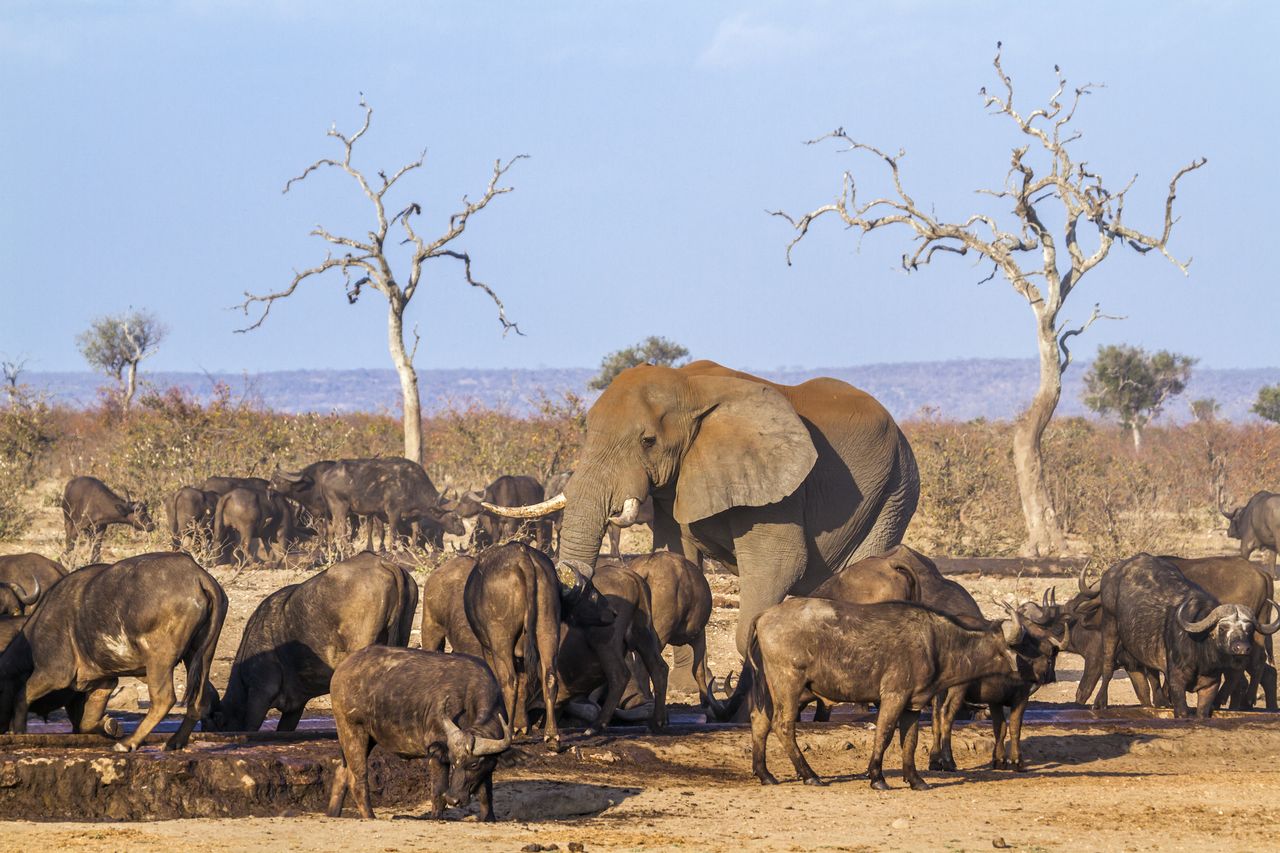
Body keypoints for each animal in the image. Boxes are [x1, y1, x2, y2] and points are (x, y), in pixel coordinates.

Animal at [0, 550, 226, 742]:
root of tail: (198, 576)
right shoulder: (103, 682)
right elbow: (87, 722)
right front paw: (110, 725)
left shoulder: (54, 673)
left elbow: (21, 697)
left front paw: (17, 732)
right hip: (200, 655)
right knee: (200, 700)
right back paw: (174, 742)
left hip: (159, 660)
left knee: (164, 699)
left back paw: (129, 743)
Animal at [330, 645, 509, 819]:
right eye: (453, 761)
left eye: (473, 764)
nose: (453, 799)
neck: (468, 698)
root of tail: (342, 669)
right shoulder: (437, 754)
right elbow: (438, 792)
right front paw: (436, 817)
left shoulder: (487, 766)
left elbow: (486, 793)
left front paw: (488, 818)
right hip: (352, 729)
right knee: (357, 779)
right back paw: (370, 816)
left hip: (366, 738)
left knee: (342, 771)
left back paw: (333, 813)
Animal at [481, 358, 921, 655]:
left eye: (647, 441)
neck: (690, 387)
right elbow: (677, 559)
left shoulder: (779, 489)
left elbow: (779, 564)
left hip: (895, 492)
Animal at [747, 594, 1024, 788]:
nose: (1026, 676)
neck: (937, 643)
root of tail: (763, 615)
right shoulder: (894, 696)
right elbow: (885, 733)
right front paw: (877, 777)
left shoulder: (913, 704)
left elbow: (910, 740)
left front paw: (916, 780)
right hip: (789, 684)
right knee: (783, 725)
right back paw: (810, 775)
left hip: (770, 689)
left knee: (760, 722)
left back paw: (765, 775)